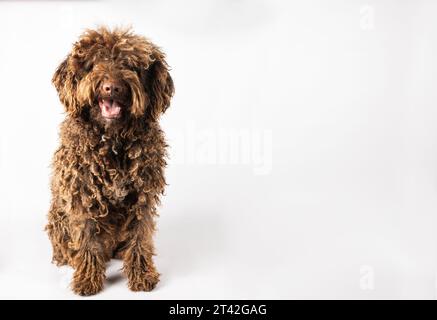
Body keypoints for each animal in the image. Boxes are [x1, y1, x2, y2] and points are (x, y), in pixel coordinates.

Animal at [45, 26, 173, 296]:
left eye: (131, 65)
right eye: (94, 63)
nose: (112, 87)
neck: (113, 142)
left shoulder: (142, 195)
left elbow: (139, 235)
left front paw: (141, 274)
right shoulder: (82, 195)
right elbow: (88, 239)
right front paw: (87, 278)